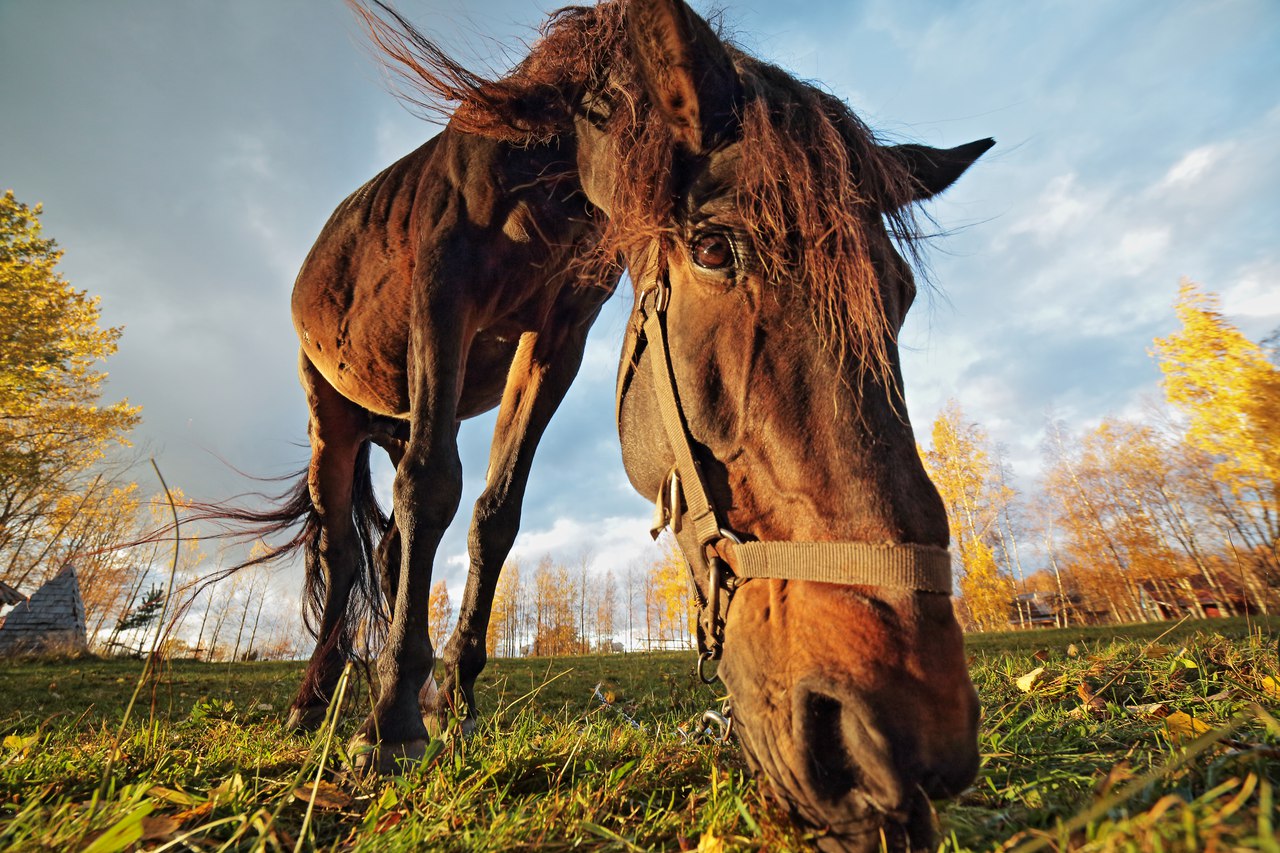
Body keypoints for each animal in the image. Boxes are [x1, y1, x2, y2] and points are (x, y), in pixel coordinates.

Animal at [257, 3, 988, 845]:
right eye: (712, 248)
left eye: (900, 291)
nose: (902, 740)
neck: (540, 168)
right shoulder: (443, 292)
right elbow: (433, 490)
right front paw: (390, 723)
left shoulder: (558, 338)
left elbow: (495, 516)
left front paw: (452, 701)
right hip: (332, 416)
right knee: (345, 549)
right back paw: (312, 702)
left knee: (385, 545)